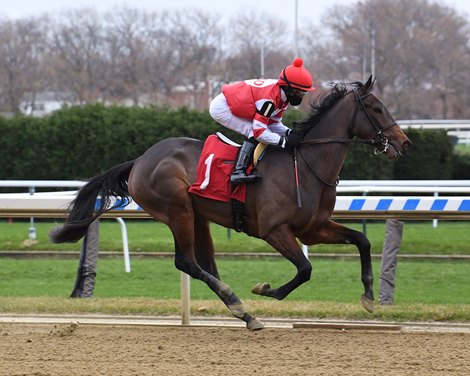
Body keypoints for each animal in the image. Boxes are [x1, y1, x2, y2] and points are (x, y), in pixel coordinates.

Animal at [52, 75, 412, 328]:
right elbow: (305, 269)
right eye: (377, 108)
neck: (306, 164)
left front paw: (368, 297)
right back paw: (238, 302)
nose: (405, 143)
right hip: (177, 210)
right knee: (187, 262)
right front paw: (266, 289)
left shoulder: (314, 228)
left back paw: (244, 313)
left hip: (197, 215)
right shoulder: (274, 230)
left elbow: (362, 240)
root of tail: (140, 160)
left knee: (205, 264)